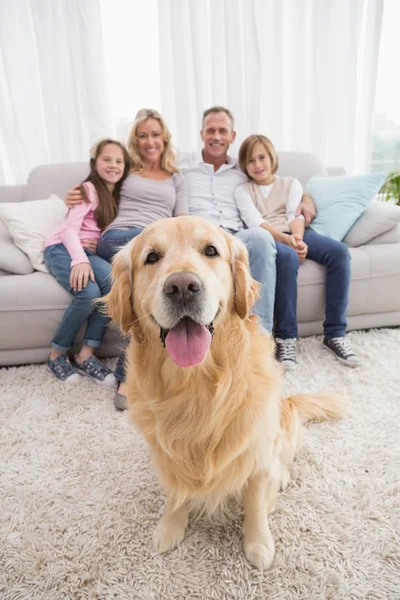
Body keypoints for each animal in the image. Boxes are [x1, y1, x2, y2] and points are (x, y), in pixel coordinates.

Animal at [104, 217, 346, 572]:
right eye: (151, 257)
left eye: (211, 251)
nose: (182, 287)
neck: (196, 385)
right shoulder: (168, 453)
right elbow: (176, 491)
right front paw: (170, 526)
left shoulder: (258, 453)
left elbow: (256, 503)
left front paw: (258, 543)